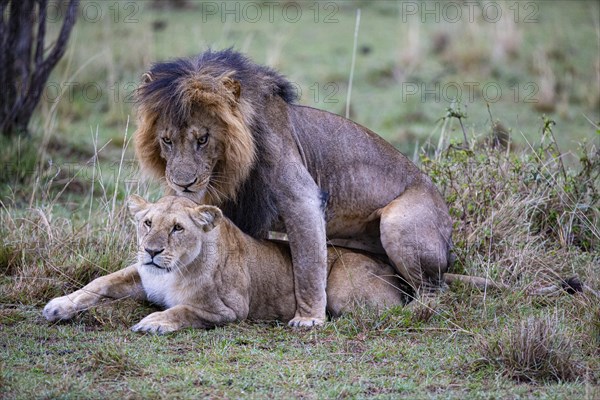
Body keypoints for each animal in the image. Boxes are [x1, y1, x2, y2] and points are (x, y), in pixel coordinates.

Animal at [44, 195, 406, 332]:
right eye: (147, 223)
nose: (151, 251)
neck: (172, 270)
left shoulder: (230, 309)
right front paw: (60, 305)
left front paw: (154, 322)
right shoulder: (142, 277)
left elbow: (184, 310)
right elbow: (99, 283)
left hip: (343, 291)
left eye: (177, 228)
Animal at [134, 48, 452, 326]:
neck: (228, 169)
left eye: (203, 139)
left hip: (398, 223)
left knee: (435, 290)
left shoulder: (302, 196)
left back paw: (413, 311)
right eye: (167, 140)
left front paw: (309, 319)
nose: (182, 183)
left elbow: (308, 265)